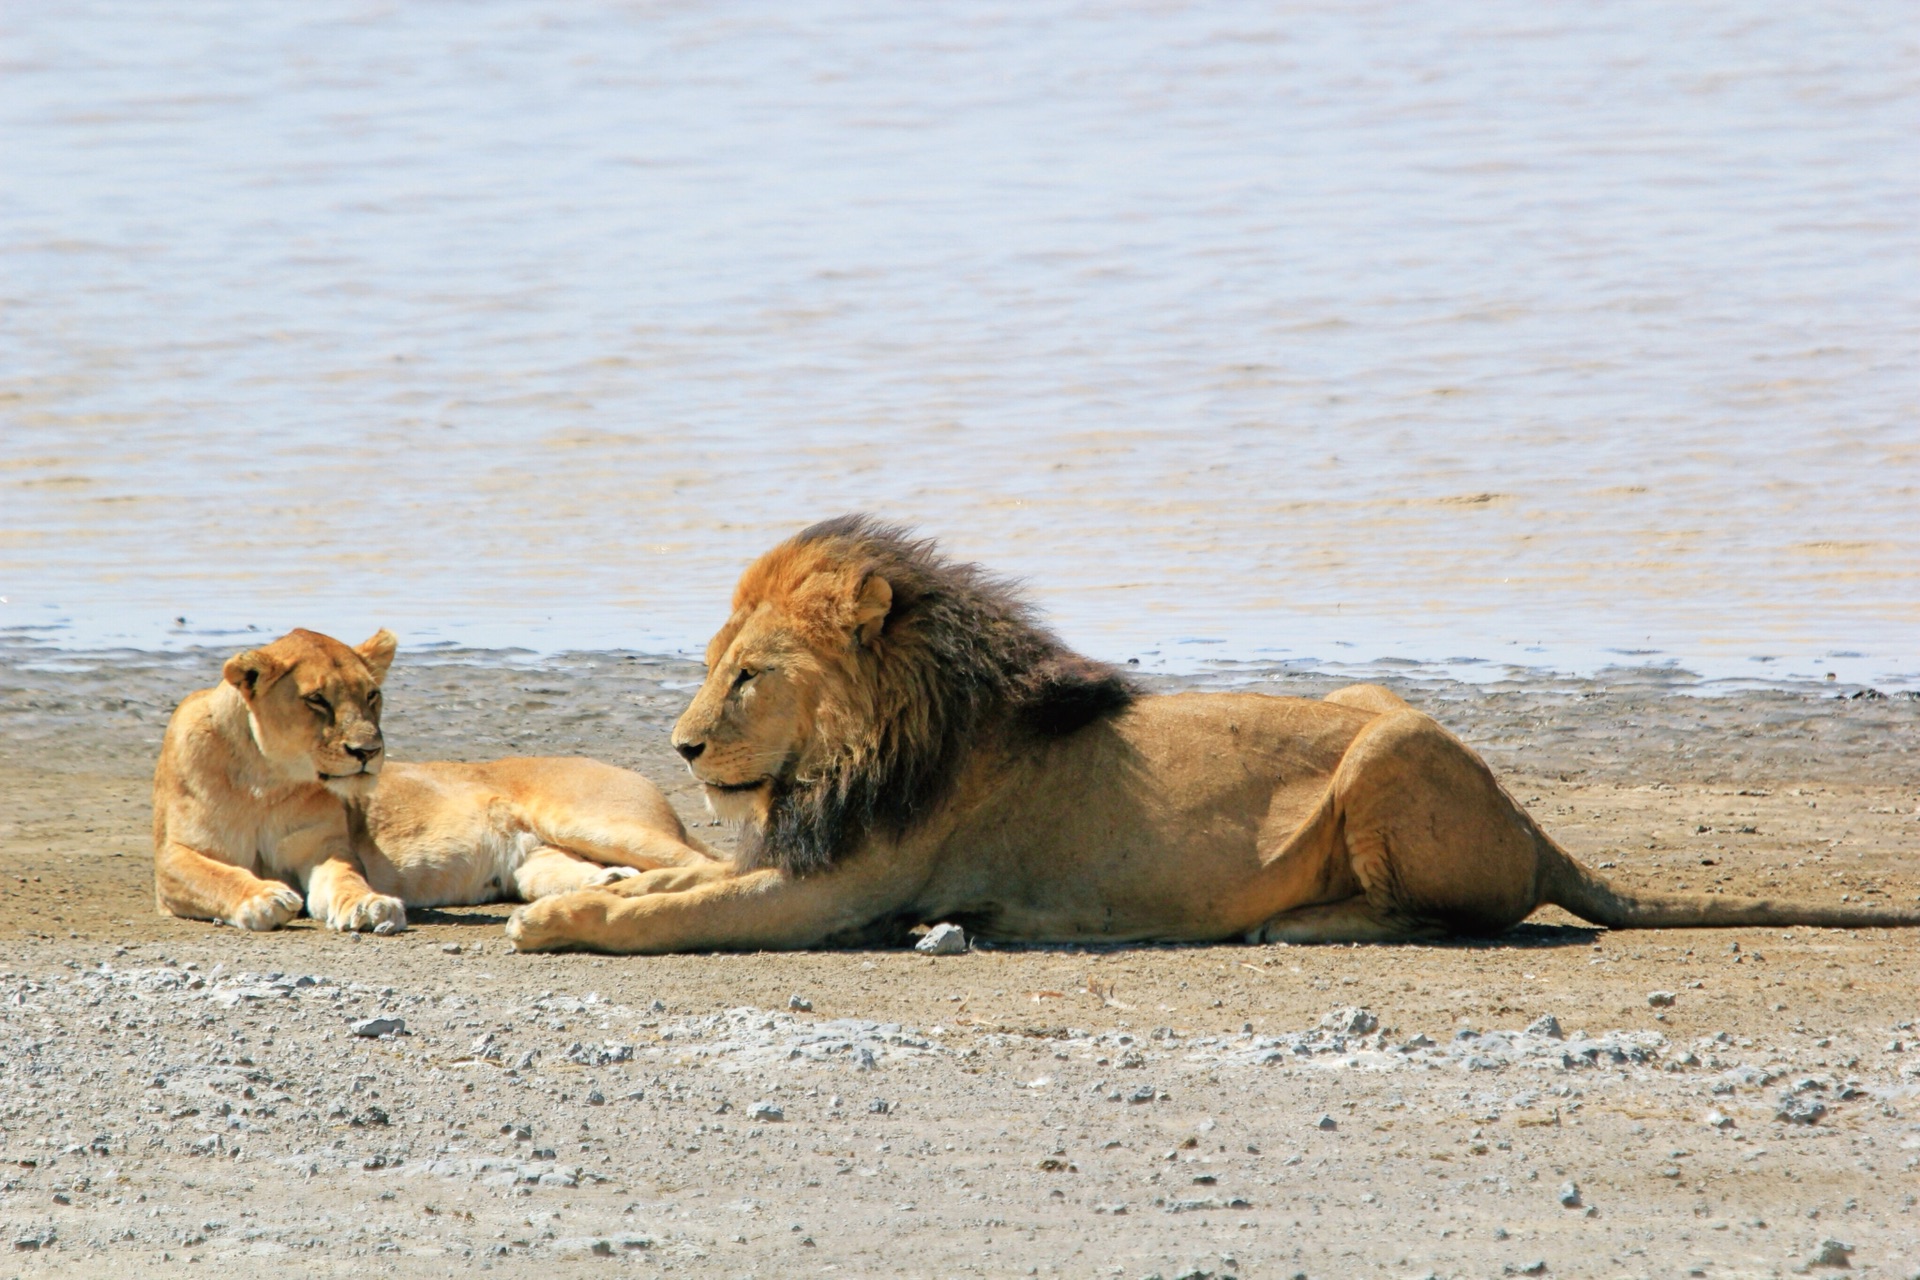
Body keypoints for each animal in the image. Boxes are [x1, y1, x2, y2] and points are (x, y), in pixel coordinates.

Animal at [155, 629, 721, 932]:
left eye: (372, 695)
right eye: (316, 700)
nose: (369, 752)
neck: (266, 779)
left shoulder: (326, 848)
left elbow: (346, 878)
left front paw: (367, 905)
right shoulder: (172, 857)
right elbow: (214, 875)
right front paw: (262, 899)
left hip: (592, 821)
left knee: (707, 864)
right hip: (534, 864)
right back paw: (611, 886)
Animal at [503, 514, 1912, 955]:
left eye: (747, 677)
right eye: (708, 671)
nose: (684, 747)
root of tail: (1530, 816)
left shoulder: (843, 883)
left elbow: (681, 909)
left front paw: (560, 916)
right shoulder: (807, 859)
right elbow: (674, 882)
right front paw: (602, 882)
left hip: (1391, 755)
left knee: (1461, 912)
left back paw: (1302, 919)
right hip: (1381, 705)